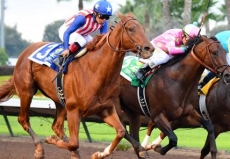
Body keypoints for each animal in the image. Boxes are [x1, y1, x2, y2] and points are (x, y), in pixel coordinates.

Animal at [0, 13, 155, 158]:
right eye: (131, 29)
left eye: (143, 29)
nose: (149, 48)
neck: (95, 70)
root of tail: (26, 51)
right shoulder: (74, 110)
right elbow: (74, 143)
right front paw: (51, 140)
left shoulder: (105, 109)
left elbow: (121, 131)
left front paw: (99, 154)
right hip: (27, 91)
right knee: (23, 119)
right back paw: (39, 149)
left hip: (60, 101)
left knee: (57, 126)